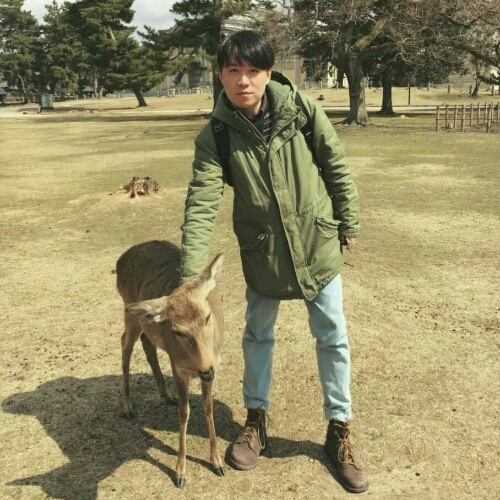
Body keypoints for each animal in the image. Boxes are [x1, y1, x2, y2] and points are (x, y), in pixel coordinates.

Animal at [116, 240, 225, 488]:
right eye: (177, 331)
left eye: (207, 316)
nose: (206, 371)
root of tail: (120, 259)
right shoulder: (178, 368)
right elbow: (184, 413)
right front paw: (180, 473)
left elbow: (208, 407)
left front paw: (218, 462)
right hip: (130, 313)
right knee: (125, 343)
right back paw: (128, 407)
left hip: (144, 323)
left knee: (147, 343)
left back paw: (166, 395)